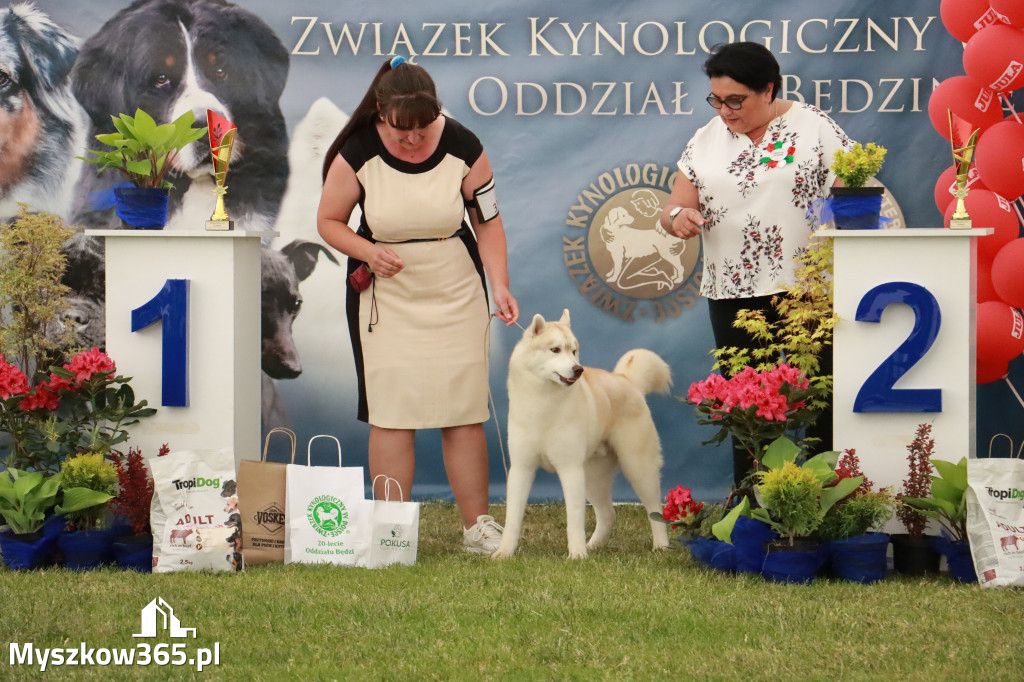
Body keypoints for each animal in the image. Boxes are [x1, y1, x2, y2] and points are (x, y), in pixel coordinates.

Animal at [493, 311, 671, 557]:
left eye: (574, 351)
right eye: (555, 349)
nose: (578, 369)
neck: (542, 403)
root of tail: (626, 380)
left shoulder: (570, 469)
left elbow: (575, 519)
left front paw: (576, 554)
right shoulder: (521, 468)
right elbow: (513, 518)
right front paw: (504, 552)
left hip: (638, 468)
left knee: (655, 510)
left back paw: (661, 545)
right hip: (594, 477)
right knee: (608, 514)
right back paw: (593, 546)